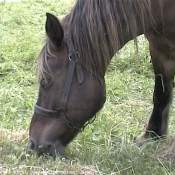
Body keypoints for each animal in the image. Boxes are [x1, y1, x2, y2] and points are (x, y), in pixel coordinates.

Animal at [28, 0, 175, 156]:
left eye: (45, 81)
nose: (33, 143)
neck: (160, 9)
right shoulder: (159, 49)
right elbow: (160, 95)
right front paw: (152, 135)